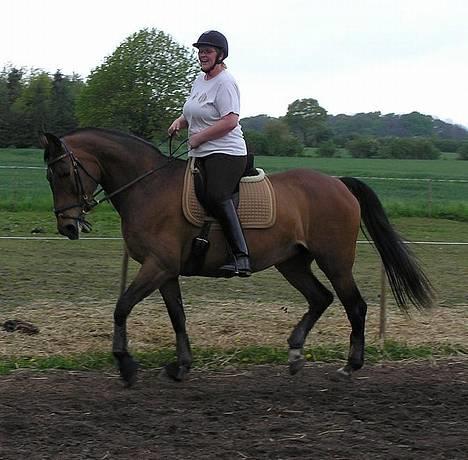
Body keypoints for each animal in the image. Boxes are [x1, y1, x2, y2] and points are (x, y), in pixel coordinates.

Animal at [41, 127, 436, 386]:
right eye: (49, 176)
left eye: (62, 172)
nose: (68, 226)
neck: (147, 187)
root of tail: (338, 183)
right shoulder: (165, 271)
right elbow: (177, 317)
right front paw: (181, 366)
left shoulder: (157, 267)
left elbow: (121, 307)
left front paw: (125, 364)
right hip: (292, 262)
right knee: (320, 298)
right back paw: (295, 354)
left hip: (336, 261)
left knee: (355, 305)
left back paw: (350, 366)